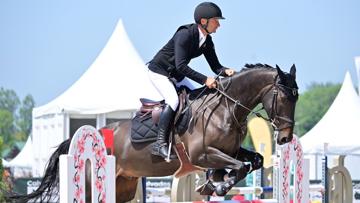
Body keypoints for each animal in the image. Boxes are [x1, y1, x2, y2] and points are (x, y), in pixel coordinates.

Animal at [6, 63, 298, 203]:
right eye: (285, 97)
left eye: (296, 98)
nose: (285, 138)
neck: (225, 109)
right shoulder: (203, 155)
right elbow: (240, 167)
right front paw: (219, 185)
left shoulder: (229, 151)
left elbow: (253, 161)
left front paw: (213, 184)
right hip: (91, 184)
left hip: (123, 185)